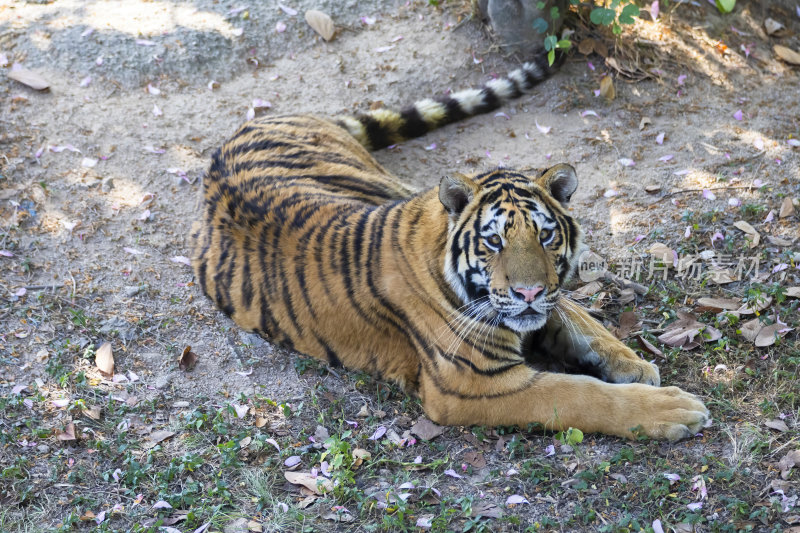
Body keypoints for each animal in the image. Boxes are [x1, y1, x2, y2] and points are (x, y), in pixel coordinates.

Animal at [192, 54, 708, 438]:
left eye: (545, 235)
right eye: (494, 241)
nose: (528, 293)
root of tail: (255, 122)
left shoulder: (547, 303)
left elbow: (584, 322)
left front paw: (635, 365)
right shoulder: (476, 383)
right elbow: (578, 394)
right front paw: (671, 410)